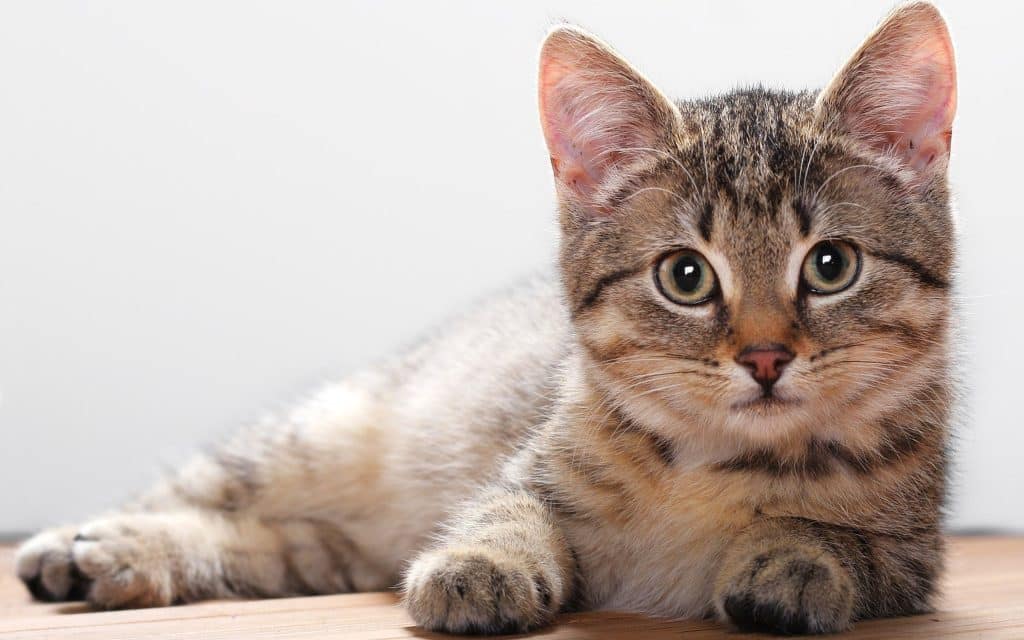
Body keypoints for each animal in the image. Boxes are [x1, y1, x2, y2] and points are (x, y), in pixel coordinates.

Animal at [14, 2, 958, 634]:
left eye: (831, 266)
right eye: (686, 277)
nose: (764, 357)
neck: (718, 465)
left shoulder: (915, 556)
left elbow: (847, 544)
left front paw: (796, 557)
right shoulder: (523, 470)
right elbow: (502, 510)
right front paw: (481, 564)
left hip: (327, 542)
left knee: (272, 544)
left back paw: (114, 561)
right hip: (316, 436)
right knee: (201, 492)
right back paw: (79, 544)